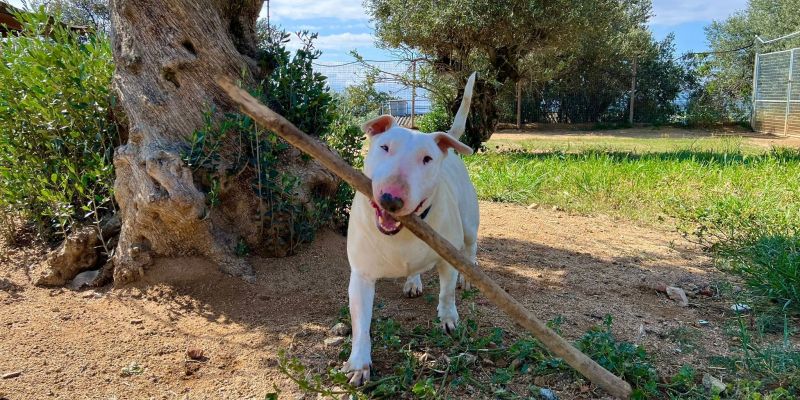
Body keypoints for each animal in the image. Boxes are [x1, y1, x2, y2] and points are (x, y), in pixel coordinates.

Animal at [343, 72, 479, 385]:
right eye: (384, 147)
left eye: (426, 159)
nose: (390, 199)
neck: (402, 232)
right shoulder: (361, 275)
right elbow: (361, 324)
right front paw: (359, 364)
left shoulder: (447, 258)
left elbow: (446, 292)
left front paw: (448, 318)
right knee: (415, 268)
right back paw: (412, 281)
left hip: (468, 224)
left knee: (471, 247)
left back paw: (469, 274)